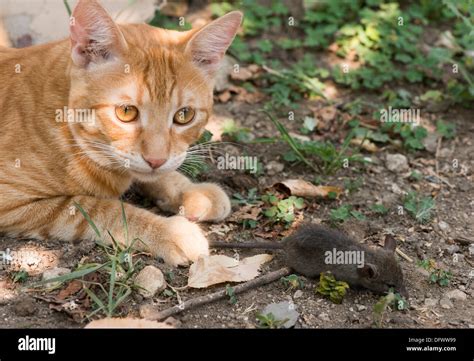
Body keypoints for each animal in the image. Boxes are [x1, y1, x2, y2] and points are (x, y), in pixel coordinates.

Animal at [0, 0, 241, 264]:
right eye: (126, 112)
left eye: (184, 115)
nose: (155, 160)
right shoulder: (13, 201)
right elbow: (103, 210)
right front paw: (169, 231)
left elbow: (157, 175)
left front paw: (190, 191)